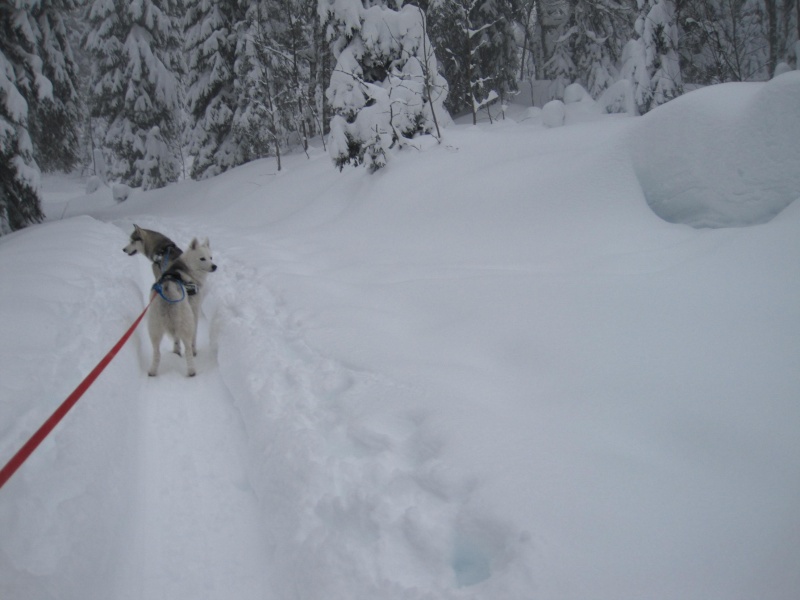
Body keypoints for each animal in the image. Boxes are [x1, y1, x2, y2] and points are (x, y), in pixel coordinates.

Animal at [148, 238, 217, 376]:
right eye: (202, 258)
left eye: (211, 257)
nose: (214, 266)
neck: (186, 269)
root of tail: (167, 289)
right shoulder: (194, 310)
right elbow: (194, 337)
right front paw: (193, 351)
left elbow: (176, 339)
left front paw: (176, 351)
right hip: (186, 323)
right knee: (188, 349)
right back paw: (191, 370)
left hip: (154, 328)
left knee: (157, 352)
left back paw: (153, 371)